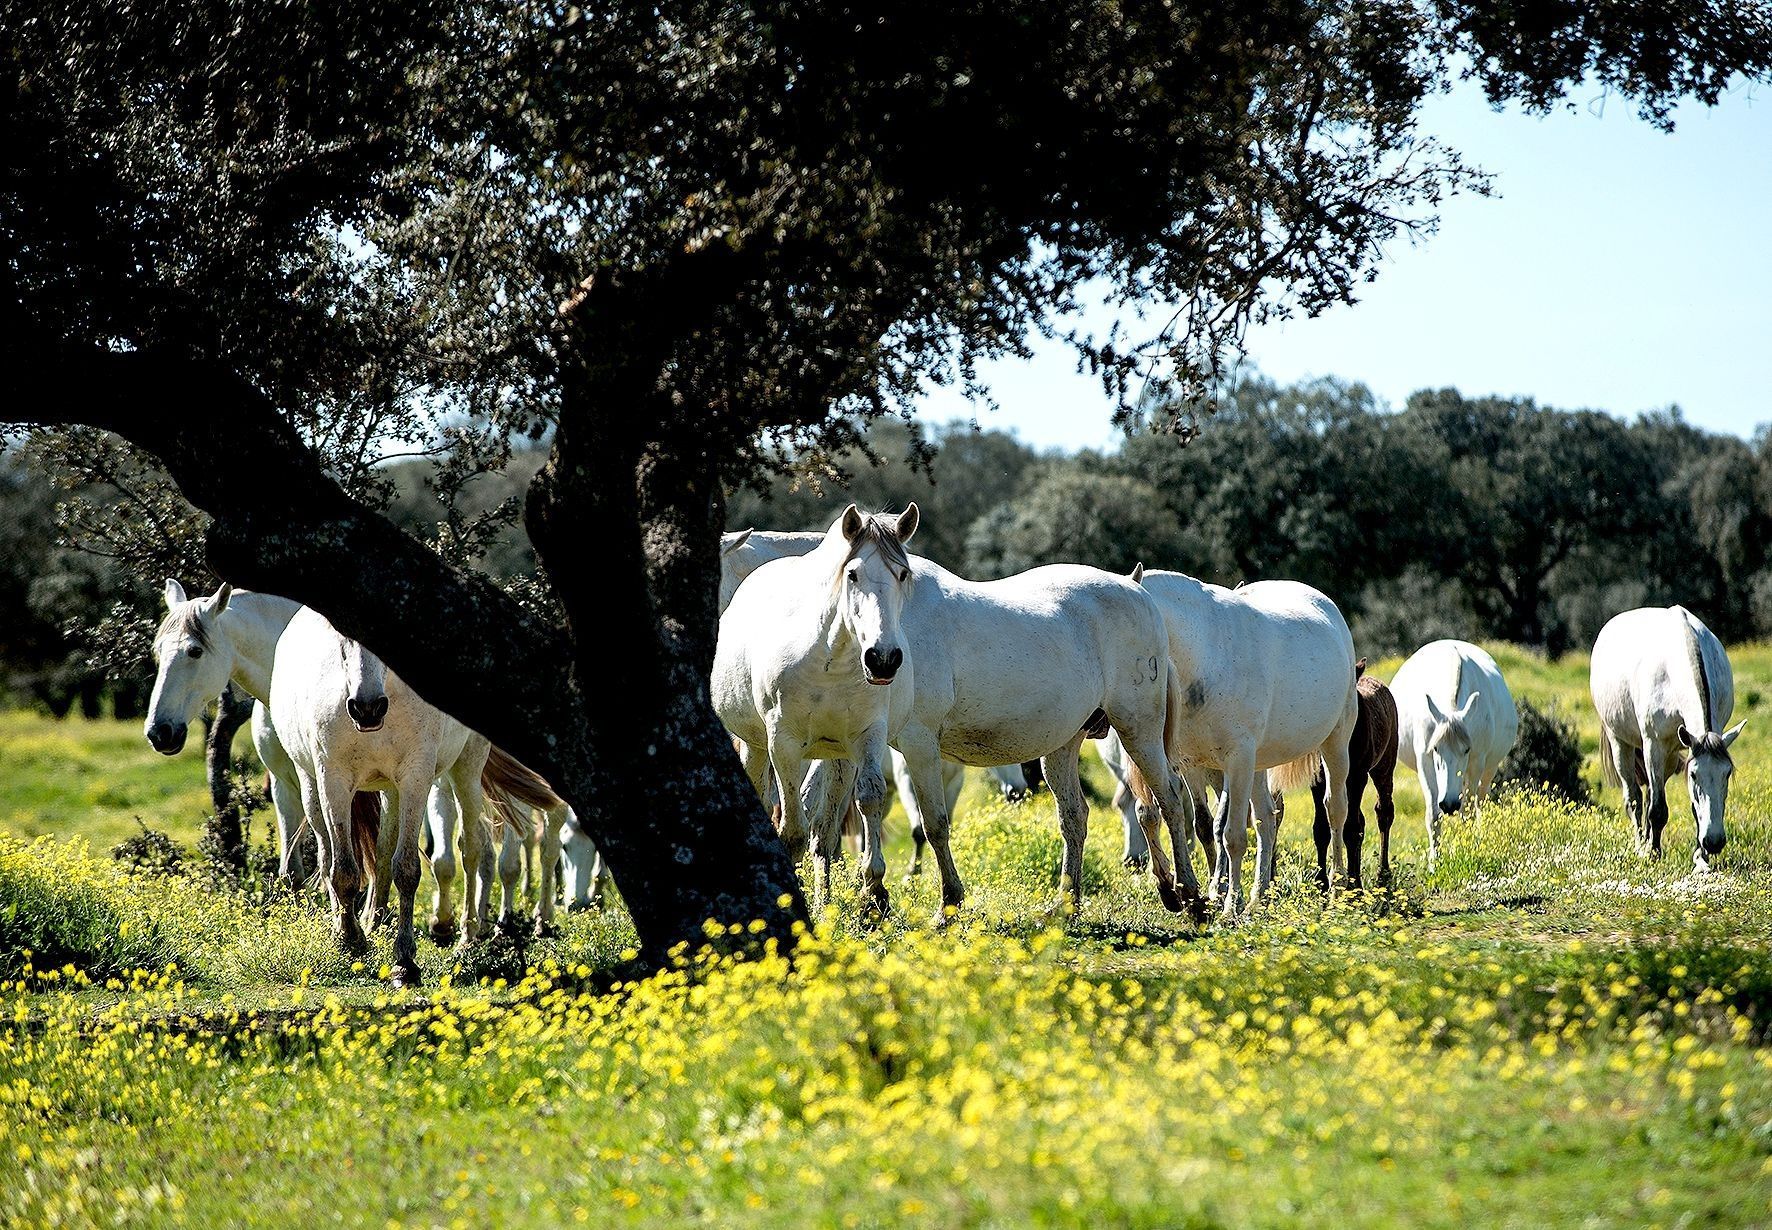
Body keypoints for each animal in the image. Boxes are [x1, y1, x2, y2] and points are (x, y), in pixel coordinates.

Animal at [713, 505, 920, 913]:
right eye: (852, 573)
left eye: (902, 573)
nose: (883, 659)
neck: (832, 659)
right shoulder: (783, 746)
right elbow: (791, 830)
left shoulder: (869, 735)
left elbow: (869, 797)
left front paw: (873, 891)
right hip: (756, 746)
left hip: (837, 755)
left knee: (824, 833)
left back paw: (827, 903)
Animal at [1132, 571, 1359, 916]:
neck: (1205, 655)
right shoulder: (1189, 764)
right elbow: (1197, 822)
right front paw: (1214, 895)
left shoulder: (1237, 759)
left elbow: (1233, 835)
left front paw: (1229, 905)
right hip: (1259, 763)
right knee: (1267, 818)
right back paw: (1259, 896)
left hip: (1335, 742)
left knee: (1335, 810)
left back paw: (1337, 888)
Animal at [1390, 640, 1519, 867]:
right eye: (1435, 748)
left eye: (1466, 749)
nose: (1449, 804)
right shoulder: (1424, 761)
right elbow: (1434, 814)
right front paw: (1435, 862)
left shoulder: (1477, 763)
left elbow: (1467, 812)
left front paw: (1466, 851)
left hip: (1489, 769)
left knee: (1479, 803)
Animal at [1591, 606, 1744, 869]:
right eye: (1694, 775)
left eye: (1727, 773)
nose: (1714, 842)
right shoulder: (1653, 745)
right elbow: (1657, 809)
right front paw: (1653, 853)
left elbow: (1692, 806)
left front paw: (1701, 858)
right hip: (1621, 743)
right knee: (1634, 798)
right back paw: (1641, 845)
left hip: (1671, 755)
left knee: (1650, 793)